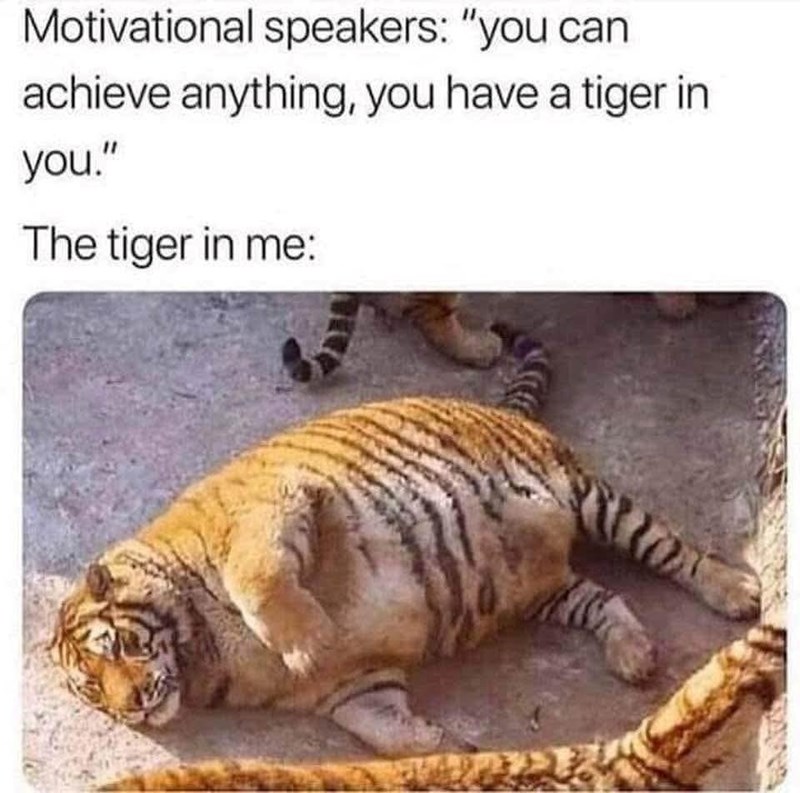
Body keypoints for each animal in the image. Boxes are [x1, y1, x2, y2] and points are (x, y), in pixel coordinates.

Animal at [51, 323, 759, 766]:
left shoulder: (272, 508)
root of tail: (503, 408)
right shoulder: (351, 687)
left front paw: (308, 640)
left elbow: (261, 581)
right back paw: (634, 656)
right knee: (603, 598)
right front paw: (445, 745)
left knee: (672, 549)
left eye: (118, 646)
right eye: (94, 689)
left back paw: (738, 591)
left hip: (590, 499)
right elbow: (385, 734)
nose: (134, 707)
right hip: (542, 592)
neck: (202, 656)